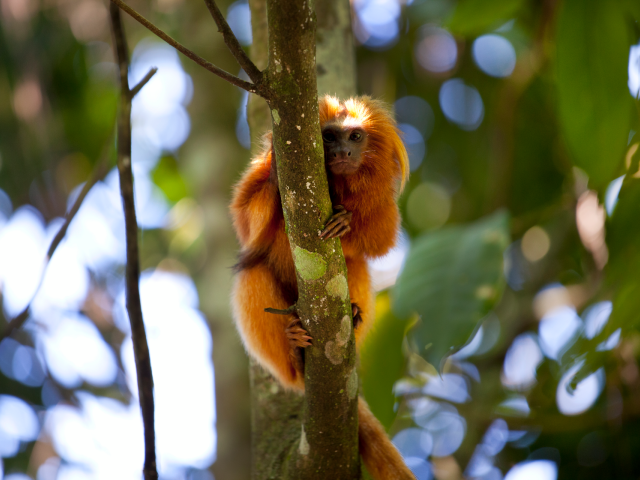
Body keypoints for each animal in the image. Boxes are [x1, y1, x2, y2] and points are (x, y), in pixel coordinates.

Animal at [230, 95, 414, 479]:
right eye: (329, 137)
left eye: (355, 136)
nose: (343, 152)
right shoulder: (254, 179)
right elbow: (245, 222)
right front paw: (276, 178)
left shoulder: (381, 204)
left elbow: (380, 240)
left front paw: (346, 222)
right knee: (251, 270)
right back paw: (293, 346)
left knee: (353, 265)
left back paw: (353, 316)